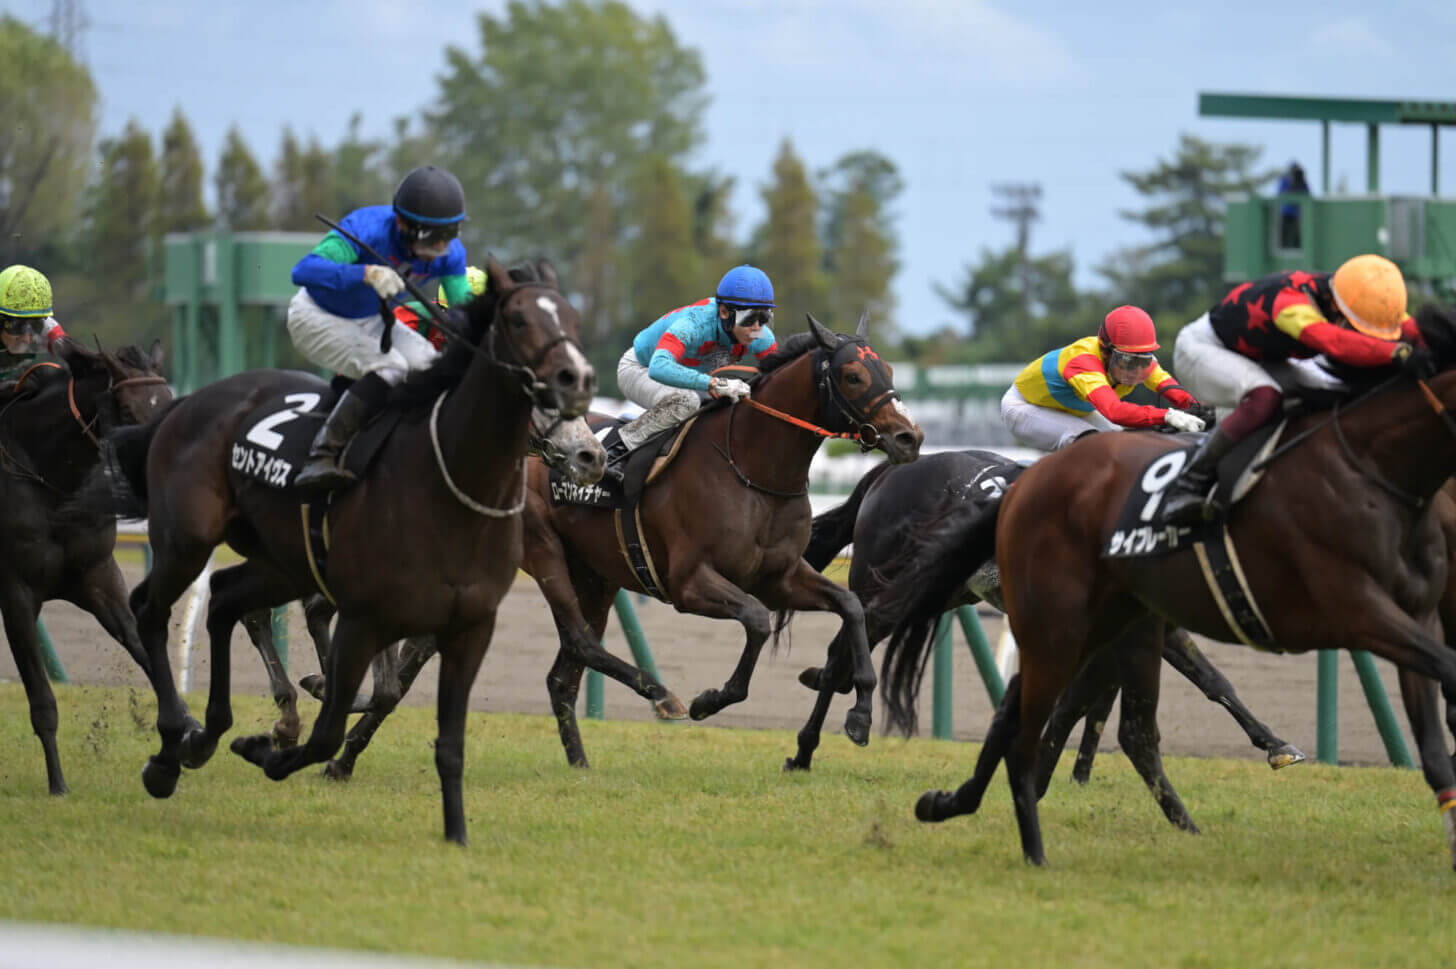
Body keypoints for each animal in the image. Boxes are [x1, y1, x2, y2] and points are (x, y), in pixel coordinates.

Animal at [0, 336, 168, 791]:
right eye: (126, 411)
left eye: (169, 403)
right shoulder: (16, 593)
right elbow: (42, 699)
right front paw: (57, 783)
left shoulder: (98, 575)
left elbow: (144, 650)